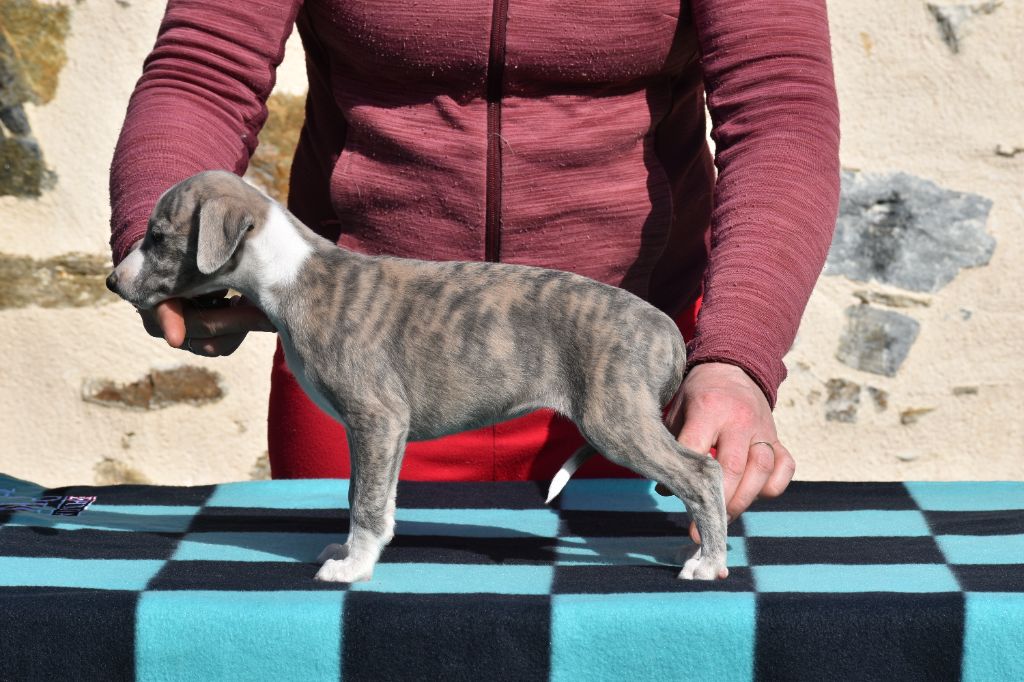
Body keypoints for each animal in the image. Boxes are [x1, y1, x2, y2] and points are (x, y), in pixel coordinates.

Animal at [106, 170, 728, 582]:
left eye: (158, 237)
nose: (113, 282)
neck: (291, 273)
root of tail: (664, 327)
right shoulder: (375, 430)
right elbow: (364, 493)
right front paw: (351, 553)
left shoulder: (377, 418)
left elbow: (366, 502)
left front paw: (353, 567)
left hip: (614, 417)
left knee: (703, 473)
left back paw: (709, 562)